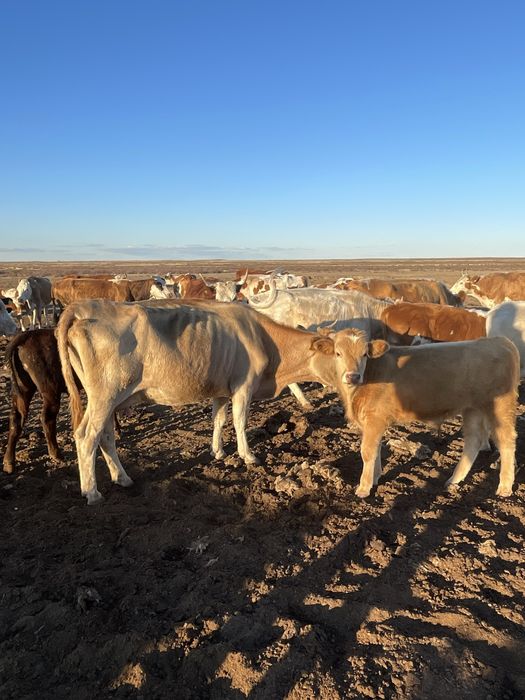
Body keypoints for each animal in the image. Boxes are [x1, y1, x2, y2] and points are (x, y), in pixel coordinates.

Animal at [56, 299, 342, 504]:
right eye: (338, 354)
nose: (351, 378)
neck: (266, 339)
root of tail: (82, 309)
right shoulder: (244, 386)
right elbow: (239, 422)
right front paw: (247, 455)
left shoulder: (222, 389)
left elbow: (219, 419)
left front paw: (218, 451)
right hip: (105, 396)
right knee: (86, 436)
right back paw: (92, 491)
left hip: (110, 401)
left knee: (105, 436)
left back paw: (122, 477)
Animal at [309, 329, 519, 498]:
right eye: (338, 353)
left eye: (364, 354)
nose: (353, 376)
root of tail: (500, 341)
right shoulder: (371, 423)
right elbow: (377, 449)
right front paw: (375, 478)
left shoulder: (375, 419)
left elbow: (367, 451)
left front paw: (363, 488)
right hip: (472, 408)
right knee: (474, 440)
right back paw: (454, 480)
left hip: (500, 405)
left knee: (506, 441)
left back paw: (505, 486)